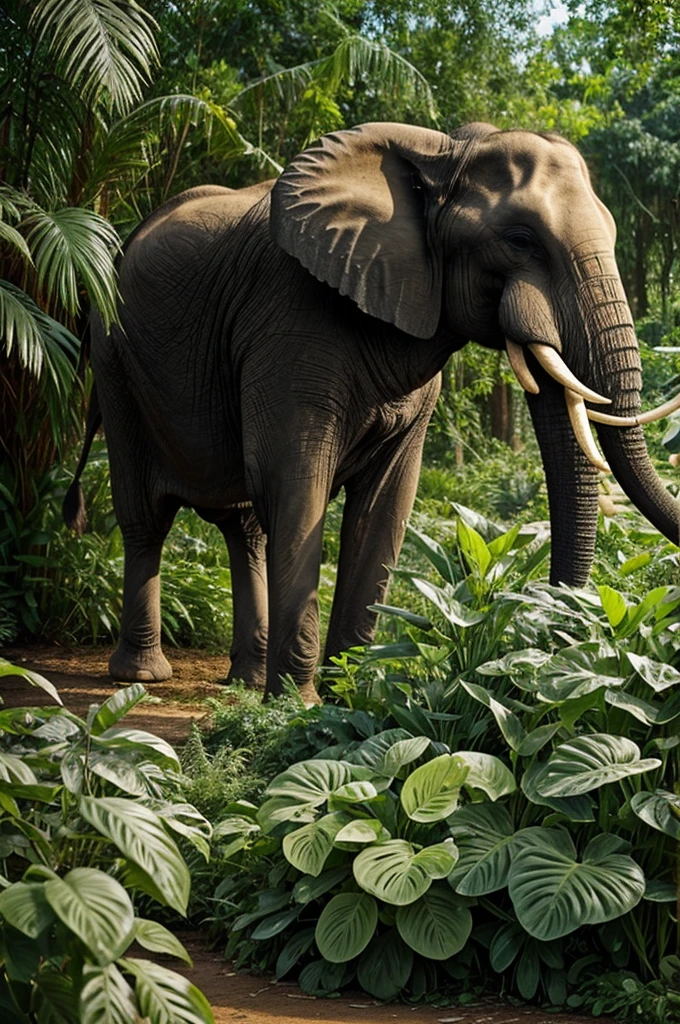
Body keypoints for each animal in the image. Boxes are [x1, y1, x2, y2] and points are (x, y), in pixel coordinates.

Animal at [64, 120, 680, 701]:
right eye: (520, 238)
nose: (549, 648)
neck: (442, 152)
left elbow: (386, 502)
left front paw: (349, 692)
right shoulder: (288, 321)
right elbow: (294, 482)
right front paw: (298, 703)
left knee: (244, 527)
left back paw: (244, 680)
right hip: (115, 354)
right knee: (145, 515)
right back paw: (141, 675)